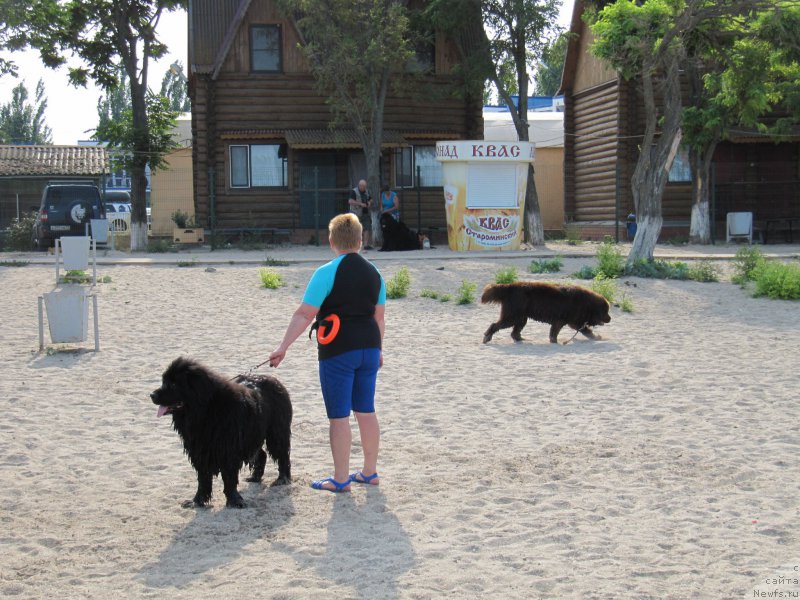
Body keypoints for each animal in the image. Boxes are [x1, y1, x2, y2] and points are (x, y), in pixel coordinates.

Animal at [149, 358, 290, 508]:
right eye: (164, 381)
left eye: (174, 384)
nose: (152, 395)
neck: (206, 410)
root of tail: (274, 380)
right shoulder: (200, 451)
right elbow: (203, 479)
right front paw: (196, 501)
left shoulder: (228, 450)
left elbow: (229, 477)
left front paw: (235, 500)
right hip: (252, 435)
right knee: (261, 454)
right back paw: (255, 477)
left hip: (276, 432)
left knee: (282, 455)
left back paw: (282, 479)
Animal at [482, 282, 612, 344]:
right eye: (605, 311)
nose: (610, 319)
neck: (587, 303)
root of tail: (509, 286)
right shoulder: (564, 321)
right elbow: (584, 330)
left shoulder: (568, 322)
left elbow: (583, 330)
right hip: (512, 317)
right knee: (495, 325)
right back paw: (487, 337)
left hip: (521, 318)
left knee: (515, 332)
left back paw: (522, 340)